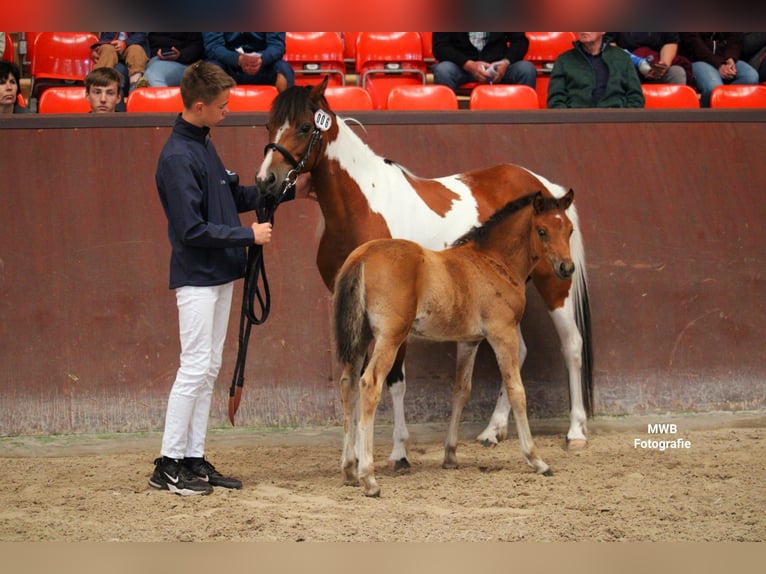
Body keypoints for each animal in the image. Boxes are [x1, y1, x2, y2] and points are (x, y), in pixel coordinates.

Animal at [336, 191, 576, 498]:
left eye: (569, 229)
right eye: (542, 230)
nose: (566, 268)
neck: (493, 261)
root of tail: (362, 256)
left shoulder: (468, 341)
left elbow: (461, 390)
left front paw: (450, 455)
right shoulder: (502, 333)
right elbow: (516, 391)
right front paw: (537, 460)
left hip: (360, 338)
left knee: (348, 385)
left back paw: (348, 470)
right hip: (390, 337)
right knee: (369, 384)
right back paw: (368, 478)